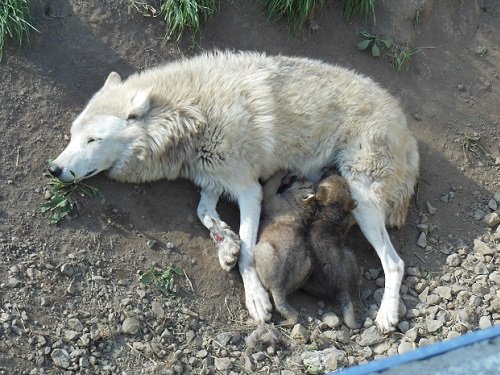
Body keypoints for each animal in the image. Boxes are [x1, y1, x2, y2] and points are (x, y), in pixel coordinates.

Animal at [49, 50, 418, 332]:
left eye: (93, 140)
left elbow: (248, 252)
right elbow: (204, 214)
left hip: (363, 201)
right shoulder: (212, 180)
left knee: (395, 263)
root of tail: (406, 130)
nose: (53, 169)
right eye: (72, 134)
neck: (190, 116)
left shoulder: (249, 191)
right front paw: (225, 244)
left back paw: (387, 315)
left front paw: (255, 297)